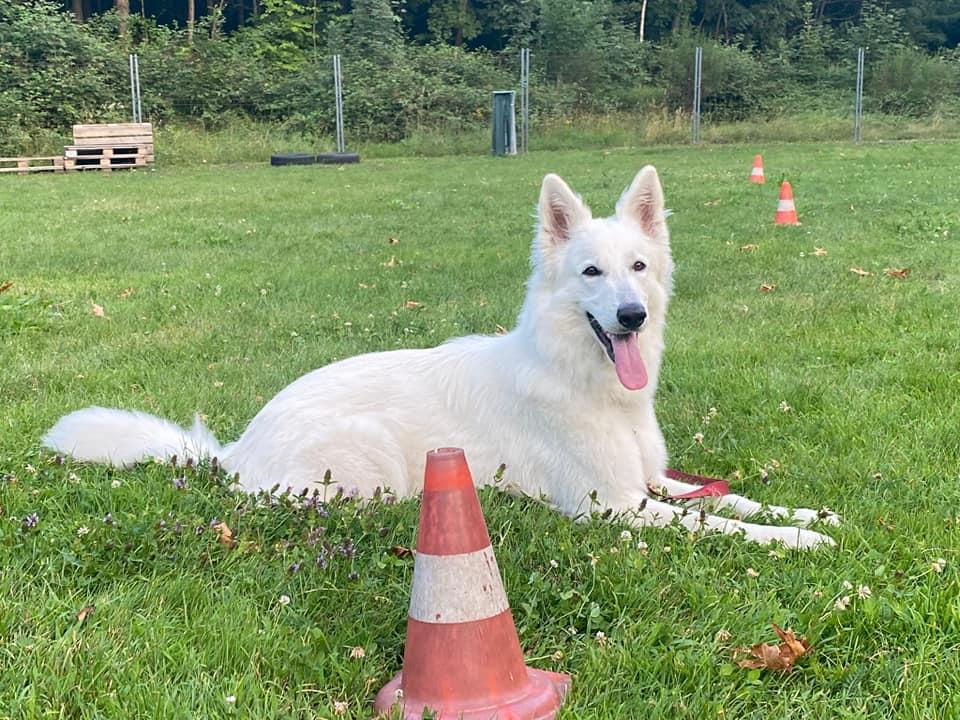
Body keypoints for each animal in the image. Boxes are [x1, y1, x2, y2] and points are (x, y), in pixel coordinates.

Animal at [45, 169, 836, 548]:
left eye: (638, 268)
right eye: (591, 273)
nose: (632, 317)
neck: (588, 385)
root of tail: (234, 451)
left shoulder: (652, 483)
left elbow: (727, 497)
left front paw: (809, 511)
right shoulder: (616, 507)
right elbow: (722, 524)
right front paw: (796, 539)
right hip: (374, 462)